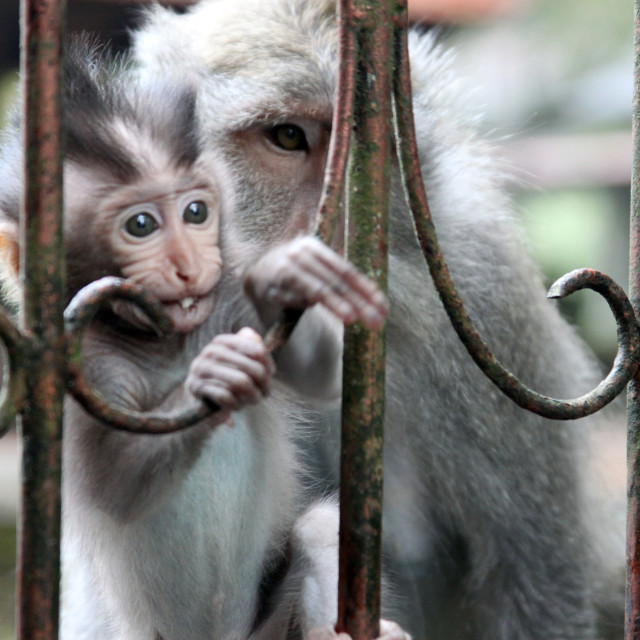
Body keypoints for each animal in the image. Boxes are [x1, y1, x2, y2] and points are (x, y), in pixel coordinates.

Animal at [0, 42, 396, 640]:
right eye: (141, 225)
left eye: (195, 212)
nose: (189, 265)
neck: (167, 346)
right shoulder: (81, 367)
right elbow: (114, 490)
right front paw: (212, 377)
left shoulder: (225, 302)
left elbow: (321, 374)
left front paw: (283, 275)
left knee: (320, 525)